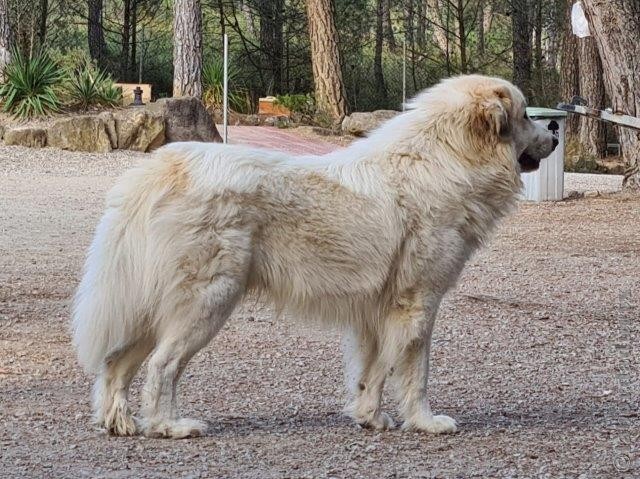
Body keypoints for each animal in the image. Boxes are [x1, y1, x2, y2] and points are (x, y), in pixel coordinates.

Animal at [72, 74, 556, 438]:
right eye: (526, 115)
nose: (553, 135)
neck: (448, 159)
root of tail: (159, 167)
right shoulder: (418, 303)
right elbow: (414, 371)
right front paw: (424, 421)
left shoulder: (374, 312)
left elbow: (372, 371)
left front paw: (370, 417)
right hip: (206, 302)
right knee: (161, 366)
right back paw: (169, 426)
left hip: (152, 306)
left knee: (116, 363)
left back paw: (120, 423)